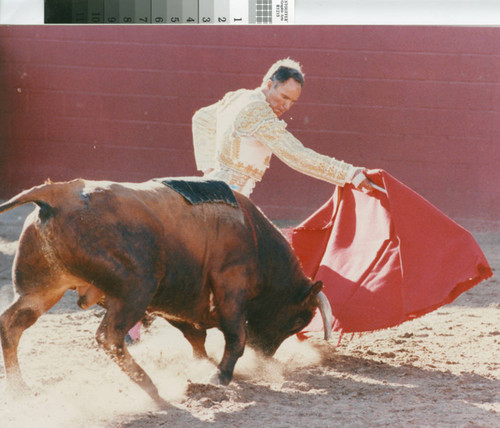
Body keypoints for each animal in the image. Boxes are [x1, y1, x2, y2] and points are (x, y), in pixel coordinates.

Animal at [0, 179, 332, 406]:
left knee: (11, 325)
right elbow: (235, 335)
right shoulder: (230, 286)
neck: (254, 236)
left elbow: (196, 338)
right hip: (135, 289)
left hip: (42, 291)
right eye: (298, 320)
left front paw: (203, 365)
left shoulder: (177, 302)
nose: (264, 356)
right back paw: (152, 389)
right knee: (109, 336)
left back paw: (20, 389)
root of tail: (58, 193)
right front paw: (220, 375)